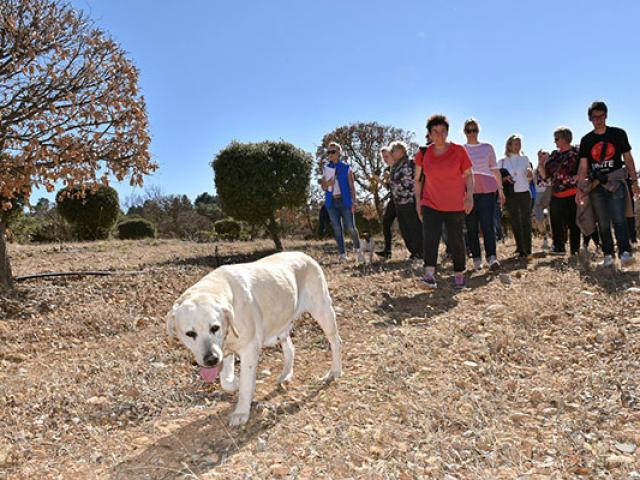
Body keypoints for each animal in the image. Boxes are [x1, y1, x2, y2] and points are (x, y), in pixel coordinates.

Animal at [168, 249, 342, 426]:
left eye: (215, 328)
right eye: (190, 333)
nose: (211, 360)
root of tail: (304, 254)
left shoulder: (248, 349)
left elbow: (245, 384)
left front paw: (241, 411)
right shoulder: (226, 349)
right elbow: (226, 381)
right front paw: (235, 382)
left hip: (323, 311)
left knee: (336, 341)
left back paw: (335, 371)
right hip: (281, 323)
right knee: (291, 349)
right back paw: (286, 374)